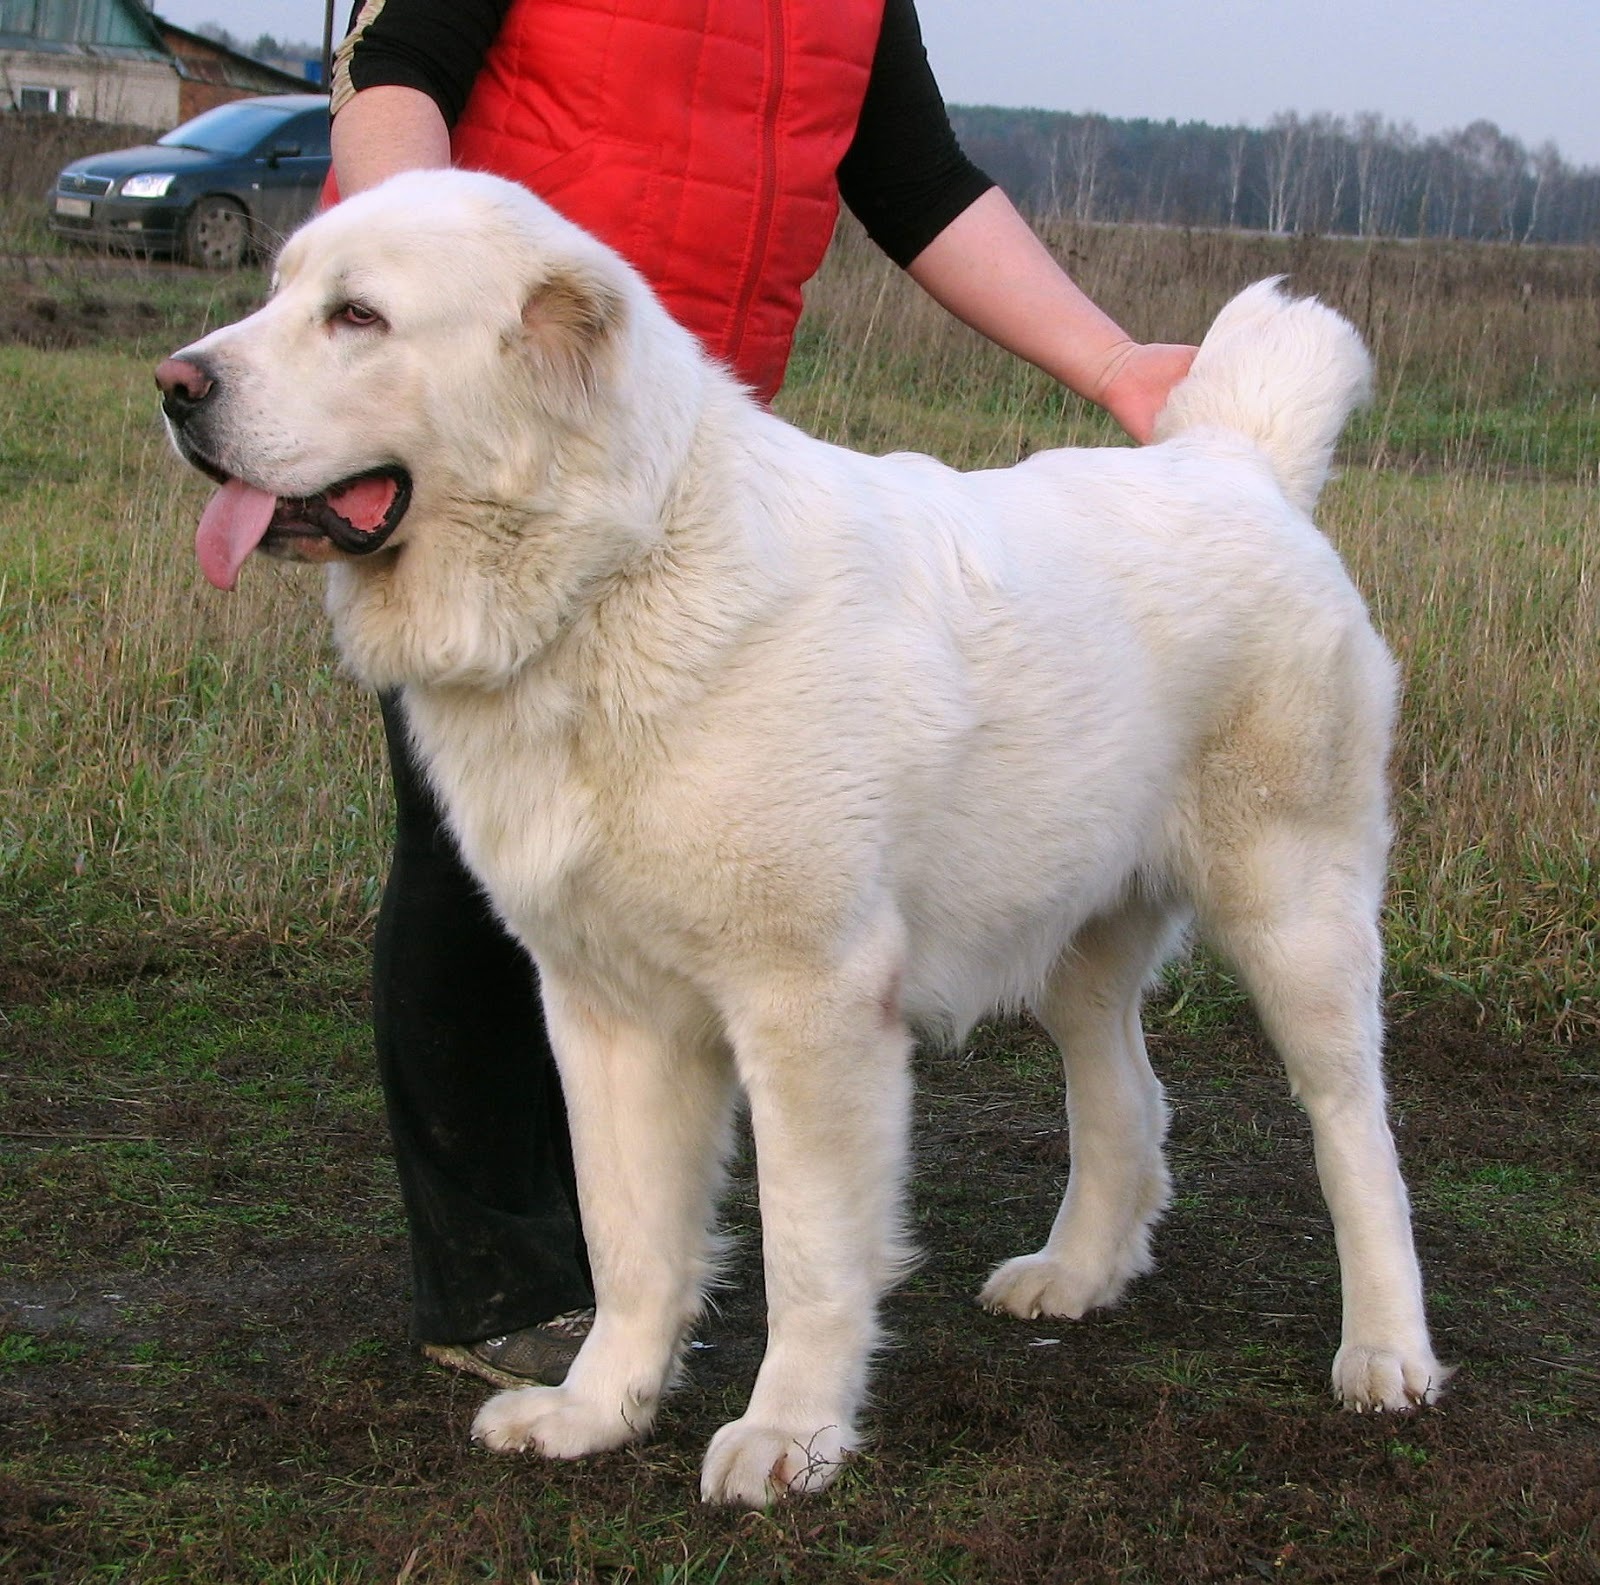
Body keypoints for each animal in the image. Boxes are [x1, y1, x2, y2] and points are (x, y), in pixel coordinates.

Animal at [156, 167, 1446, 1503]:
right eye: (278, 293)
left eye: (357, 316)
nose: (176, 385)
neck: (612, 577)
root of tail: (1233, 461)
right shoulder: (607, 1011)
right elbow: (630, 1240)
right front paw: (596, 1411)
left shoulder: (809, 1004)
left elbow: (812, 1251)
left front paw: (790, 1435)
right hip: (1070, 933)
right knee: (1123, 1099)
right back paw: (1074, 1274)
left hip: (1295, 914)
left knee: (1357, 1134)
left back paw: (1385, 1352)